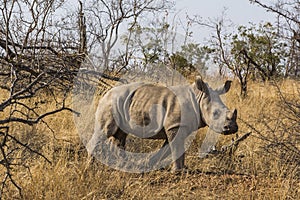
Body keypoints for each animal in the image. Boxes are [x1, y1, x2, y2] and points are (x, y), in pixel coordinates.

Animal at [86, 76, 239, 171]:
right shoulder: (175, 125)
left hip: (119, 103)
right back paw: (90, 167)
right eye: (215, 114)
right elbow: (175, 147)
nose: (233, 128)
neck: (199, 97)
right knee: (105, 131)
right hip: (110, 103)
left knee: (120, 135)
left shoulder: (177, 126)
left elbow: (168, 149)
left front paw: (146, 163)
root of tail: (106, 93)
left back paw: (121, 166)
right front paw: (178, 171)